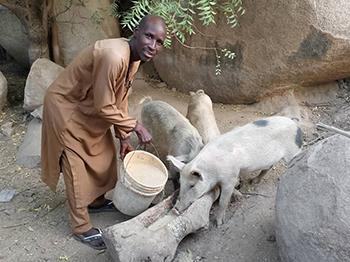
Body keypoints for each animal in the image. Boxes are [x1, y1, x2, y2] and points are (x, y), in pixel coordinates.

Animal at [166, 116, 300, 225]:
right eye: (181, 183)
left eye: (192, 185)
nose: (175, 210)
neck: (212, 171)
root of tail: (295, 124)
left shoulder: (230, 177)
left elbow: (223, 201)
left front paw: (219, 224)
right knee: (268, 167)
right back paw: (253, 181)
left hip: (293, 151)